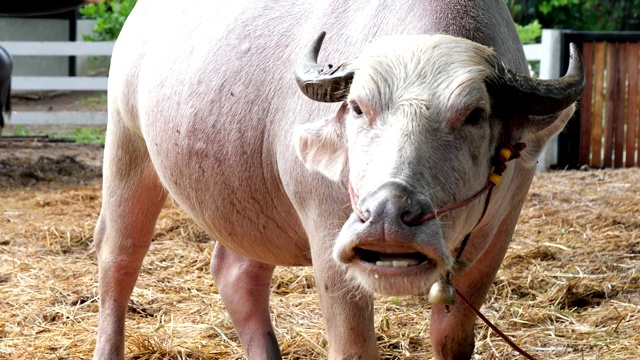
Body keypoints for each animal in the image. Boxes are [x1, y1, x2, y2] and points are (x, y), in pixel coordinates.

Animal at [92, 0, 584, 360]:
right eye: (358, 108)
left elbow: (451, 340)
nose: (387, 218)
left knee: (237, 273)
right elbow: (354, 349)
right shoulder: (329, 239)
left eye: (475, 115)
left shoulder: (497, 235)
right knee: (119, 258)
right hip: (128, 147)